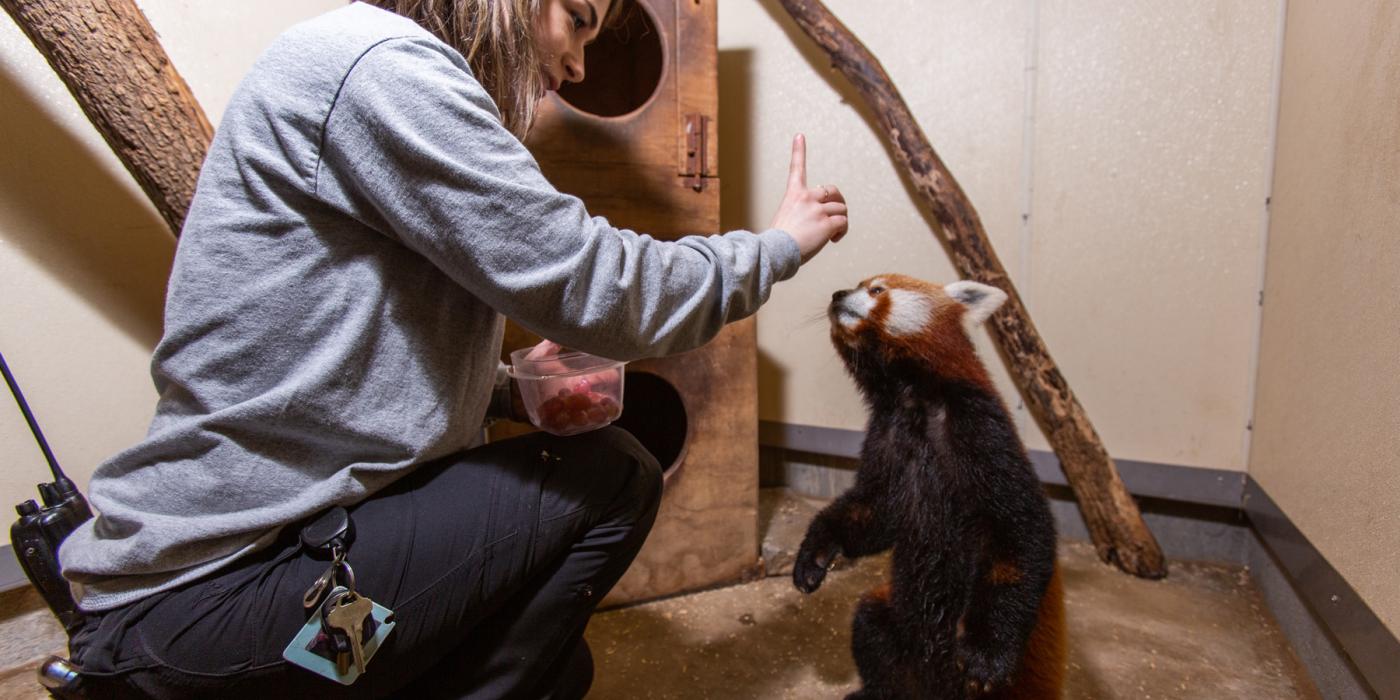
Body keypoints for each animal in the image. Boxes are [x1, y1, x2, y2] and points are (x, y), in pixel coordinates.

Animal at [795, 273, 1064, 700]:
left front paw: (986, 653)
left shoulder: (982, 430)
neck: (912, 400)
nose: (838, 295)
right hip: (895, 627)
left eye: (876, 289)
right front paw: (815, 553)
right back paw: (874, 692)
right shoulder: (887, 437)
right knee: (870, 624)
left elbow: (1021, 535)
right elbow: (872, 513)